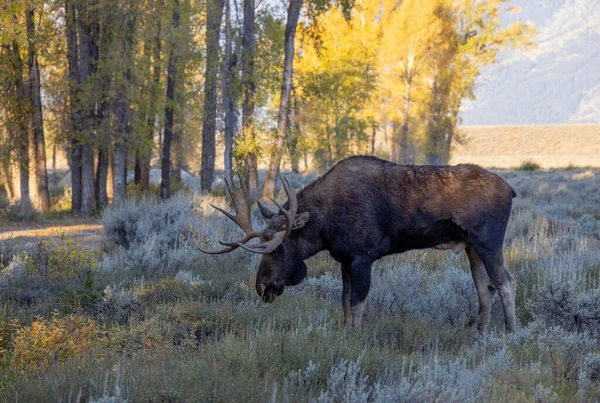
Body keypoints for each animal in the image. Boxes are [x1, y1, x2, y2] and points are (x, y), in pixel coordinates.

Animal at [199, 156, 516, 332]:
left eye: (278, 247)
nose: (262, 287)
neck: (326, 226)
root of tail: (511, 191)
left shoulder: (363, 256)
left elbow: (358, 304)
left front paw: (356, 339)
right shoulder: (345, 259)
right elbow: (344, 303)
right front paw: (347, 334)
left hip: (489, 243)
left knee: (506, 284)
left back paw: (511, 334)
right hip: (472, 247)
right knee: (484, 290)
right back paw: (479, 333)